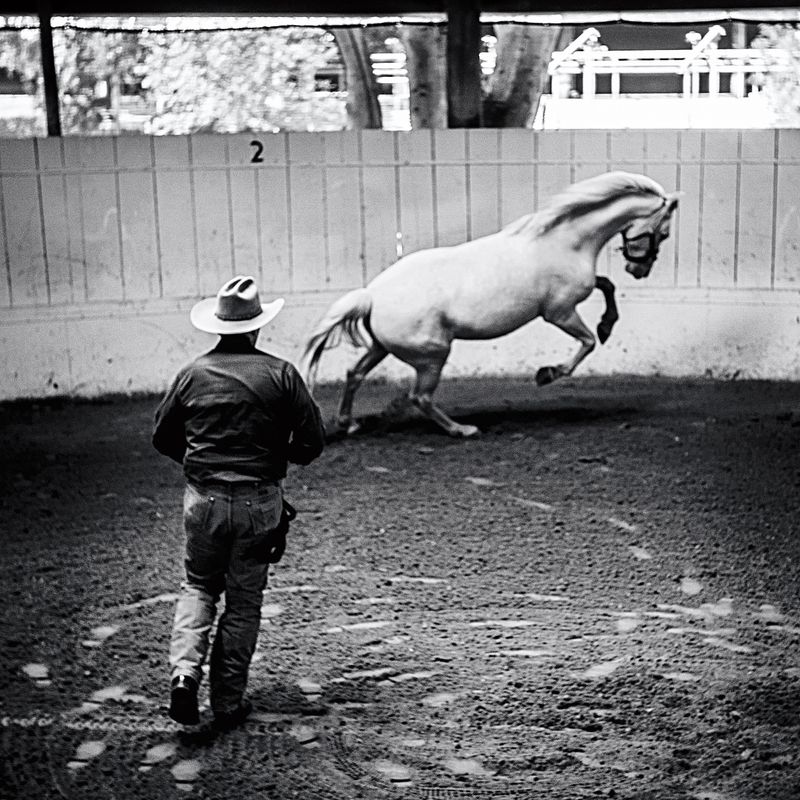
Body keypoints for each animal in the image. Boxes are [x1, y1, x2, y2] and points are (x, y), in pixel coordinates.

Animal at [304, 170, 680, 440]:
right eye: (663, 233)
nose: (639, 270)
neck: (565, 241)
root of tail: (372, 295)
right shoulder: (559, 312)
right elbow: (587, 343)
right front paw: (548, 373)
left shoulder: (576, 296)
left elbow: (606, 286)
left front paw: (606, 325)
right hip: (432, 355)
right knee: (419, 397)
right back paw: (463, 430)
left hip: (382, 347)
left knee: (354, 374)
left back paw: (349, 424)